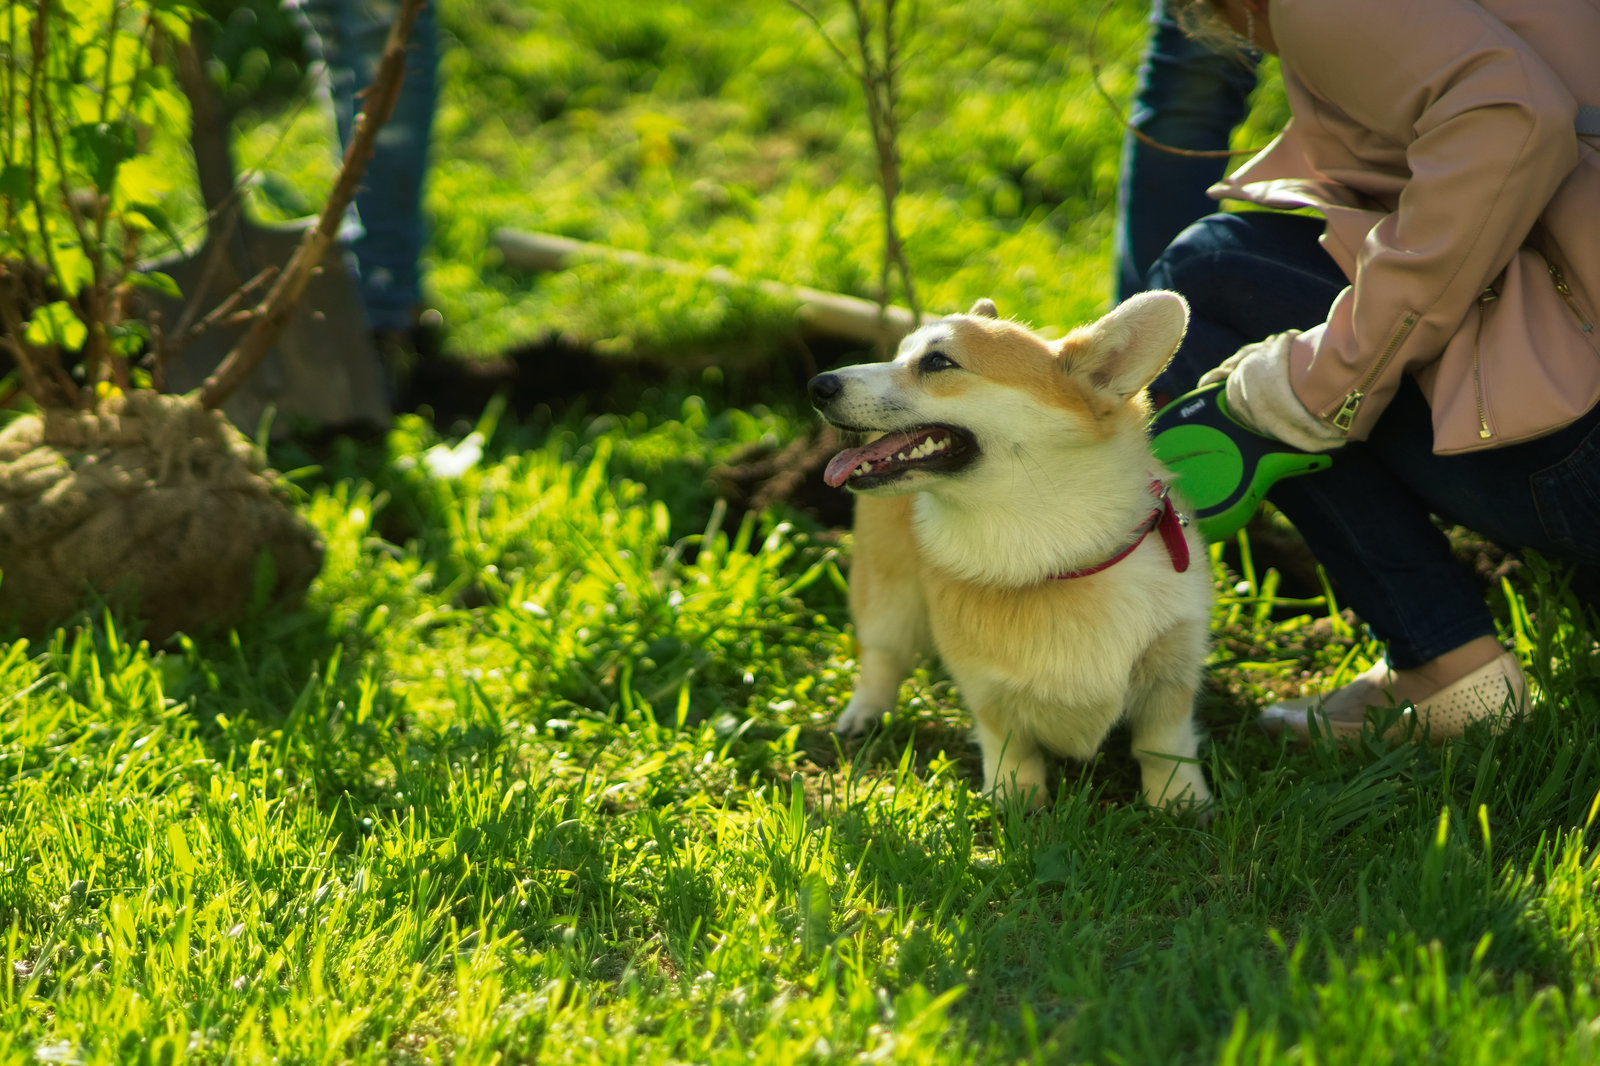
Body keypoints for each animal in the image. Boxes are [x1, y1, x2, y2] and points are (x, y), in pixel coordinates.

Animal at [806, 291, 1203, 806]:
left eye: (937, 361)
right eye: (898, 354)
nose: (816, 385)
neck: (1052, 553)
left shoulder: (1171, 672)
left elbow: (1163, 746)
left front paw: (1181, 803)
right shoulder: (986, 688)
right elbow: (1009, 745)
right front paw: (1014, 801)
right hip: (886, 588)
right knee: (882, 654)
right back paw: (863, 715)